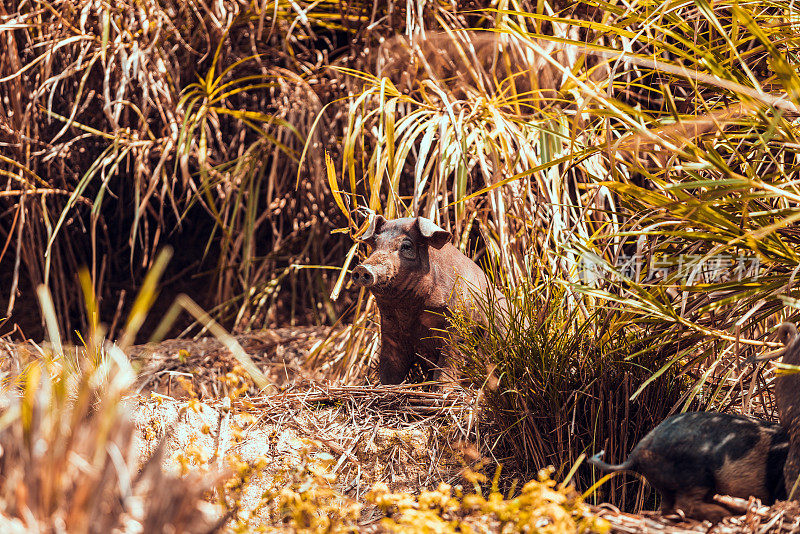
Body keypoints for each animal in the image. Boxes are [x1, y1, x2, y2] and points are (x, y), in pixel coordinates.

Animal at [352, 214, 504, 386]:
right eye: (376, 244)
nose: (363, 268)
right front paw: (385, 386)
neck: (408, 307)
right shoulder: (391, 329)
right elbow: (390, 364)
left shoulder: (459, 321)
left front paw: (441, 390)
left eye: (406, 246)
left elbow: (449, 360)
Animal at [588, 414, 788, 524]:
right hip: (694, 474)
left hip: (668, 481)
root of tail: (636, 452)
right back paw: (723, 515)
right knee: (685, 504)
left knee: (667, 506)